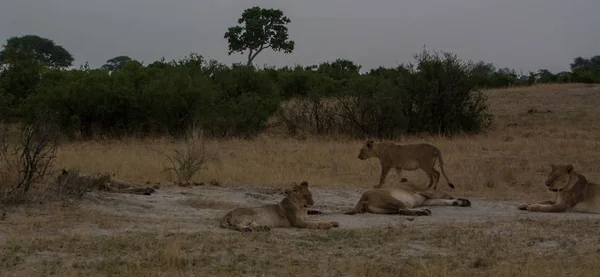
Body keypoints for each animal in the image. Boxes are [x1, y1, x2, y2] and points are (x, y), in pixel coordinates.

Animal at [340, 181, 472, 216]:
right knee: (403, 209)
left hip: (388, 209)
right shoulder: (429, 193)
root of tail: (364, 196)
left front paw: (461, 202)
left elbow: (445, 200)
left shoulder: (428, 199)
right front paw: (463, 201)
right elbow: (445, 196)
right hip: (393, 200)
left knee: (401, 211)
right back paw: (422, 212)